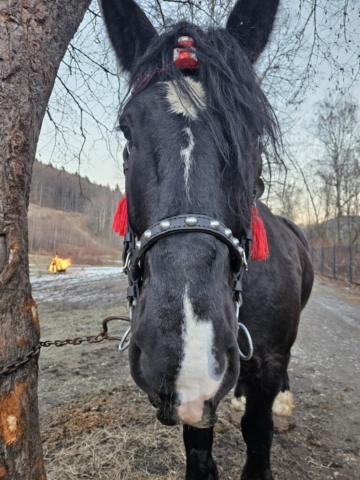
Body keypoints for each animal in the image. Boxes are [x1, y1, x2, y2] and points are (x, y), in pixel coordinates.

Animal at [100, 1, 312, 478]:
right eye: (126, 129)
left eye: (252, 130)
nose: (185, 356)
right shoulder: (193, 401)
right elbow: (198, 452)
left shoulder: (268, 363)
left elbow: (258, 435)